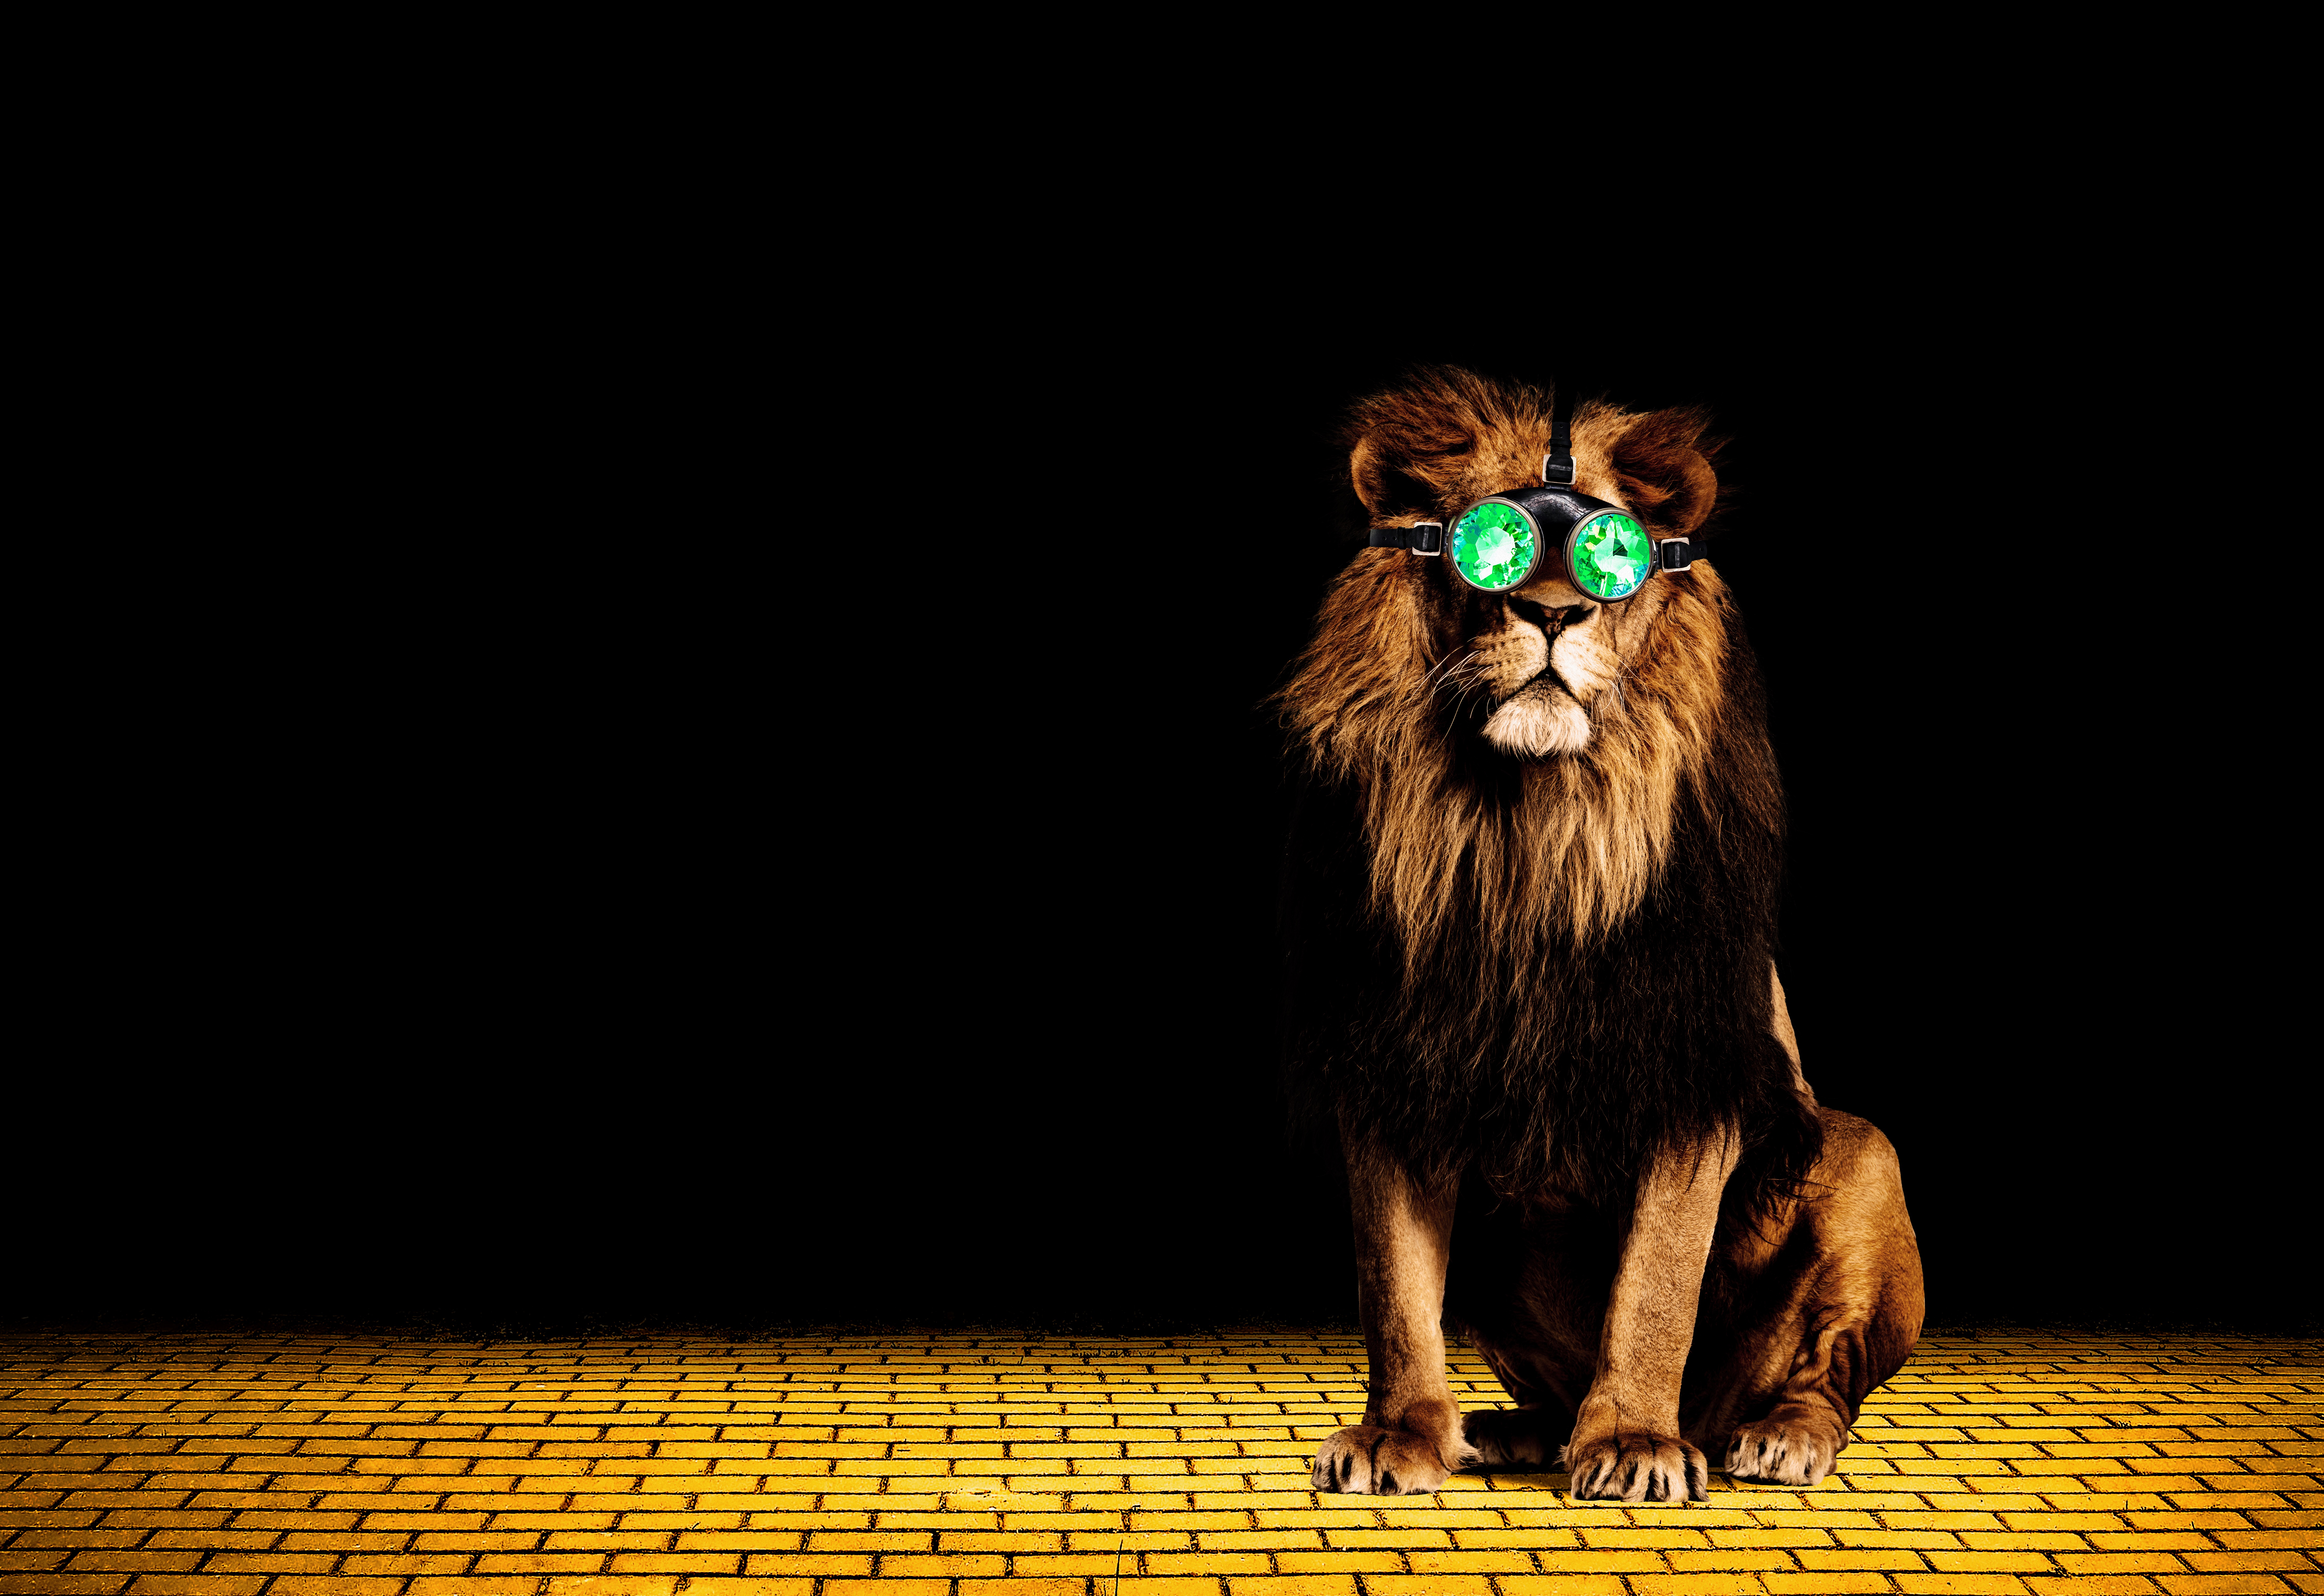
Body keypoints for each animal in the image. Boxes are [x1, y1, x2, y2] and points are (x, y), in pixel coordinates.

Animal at [1277, 367, 1924, 1503]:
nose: (1550, 612)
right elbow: (1392, 1285)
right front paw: (1398, 1436)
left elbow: (1655, 1284)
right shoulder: (1393, 1065)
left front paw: (1628, 1442)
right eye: (1482, 543)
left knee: (1821, 1373)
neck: (1527, 829)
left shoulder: (1689, 1074)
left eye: (1609, 557)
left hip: (1859, 1155)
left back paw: (1771, 1437)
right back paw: (1512, 1431)